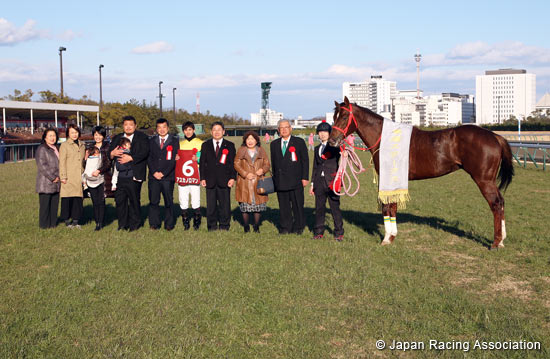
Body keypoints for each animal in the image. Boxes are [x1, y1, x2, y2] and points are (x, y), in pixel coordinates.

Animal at [330, 98, 516, 250]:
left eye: (344, 116)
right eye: (334, 116)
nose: (332, 140)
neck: (386, 138)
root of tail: (495, 136)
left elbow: (387, 206)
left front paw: (386, 238)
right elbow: (393, 206)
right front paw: (392, 236)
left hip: (484, 180)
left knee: (496, 204)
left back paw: (496, 242)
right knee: (501, 202)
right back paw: (502, 239)